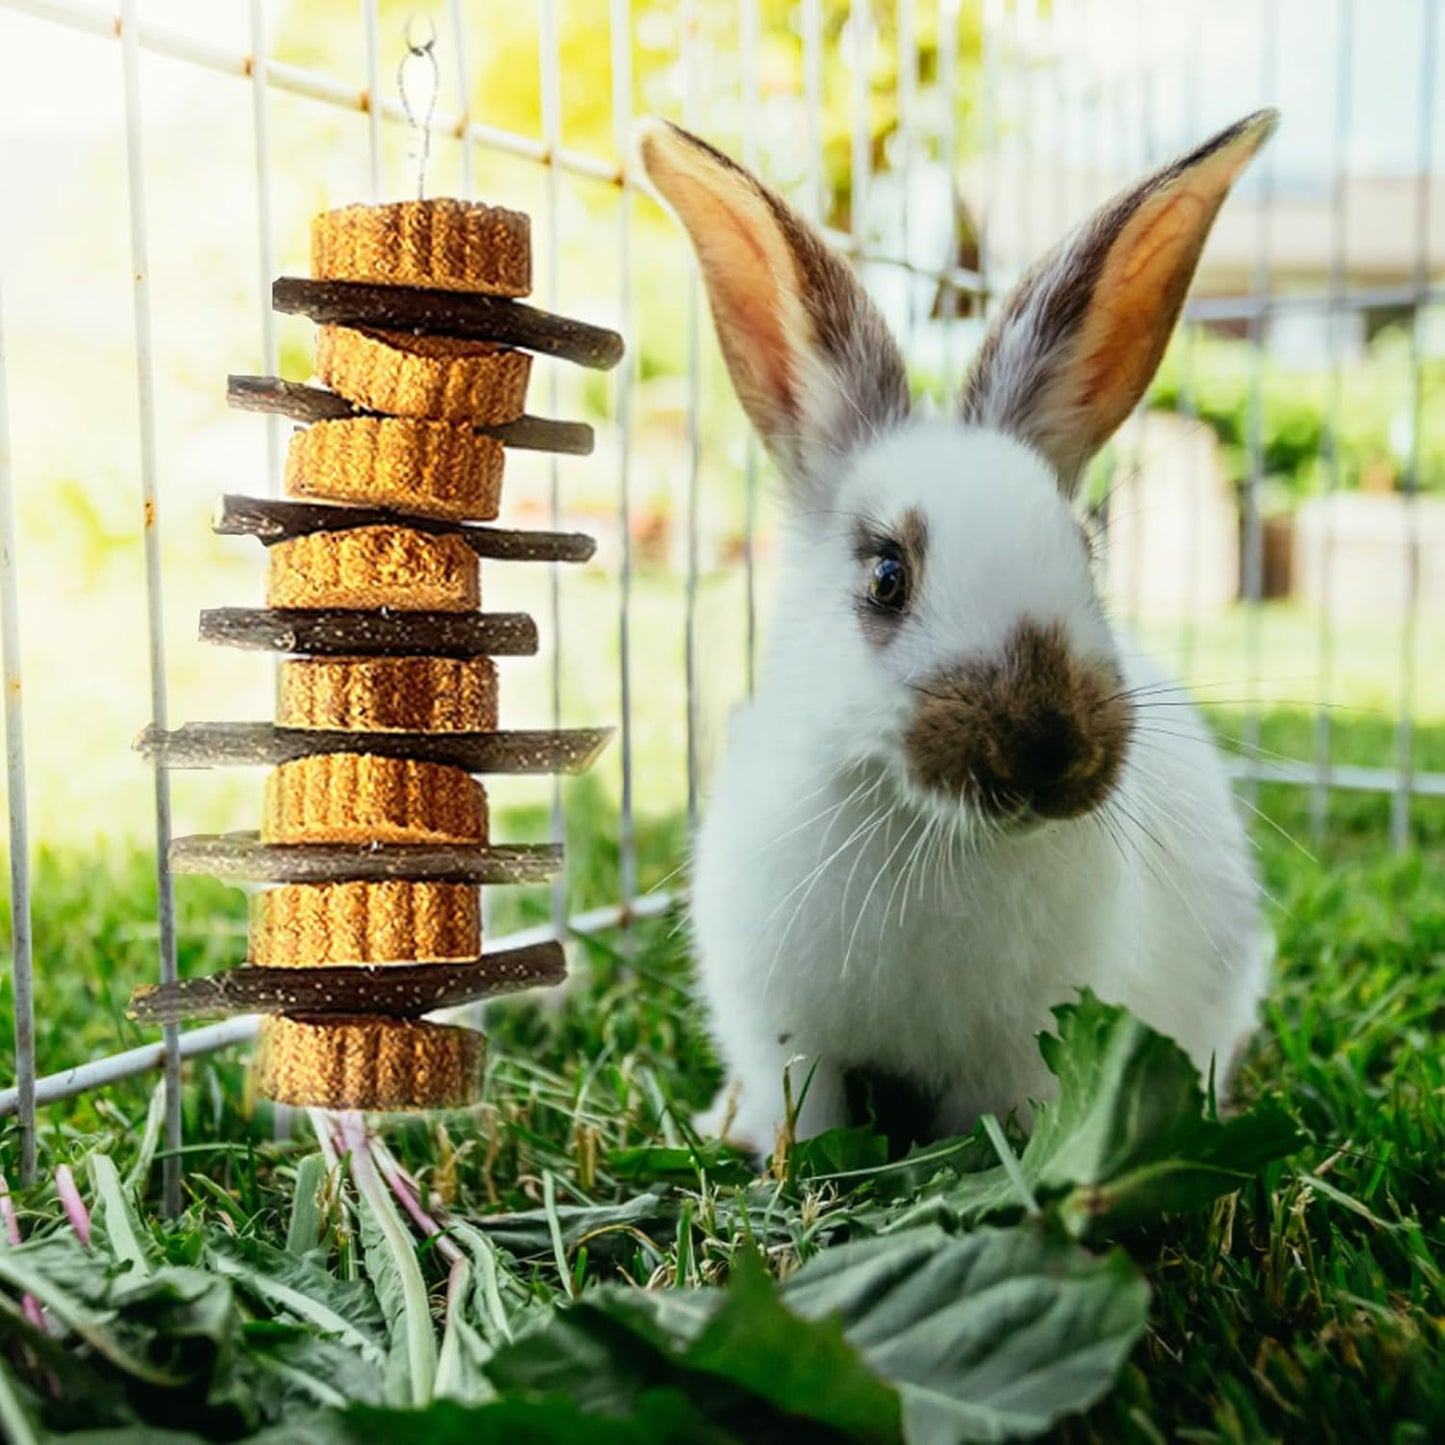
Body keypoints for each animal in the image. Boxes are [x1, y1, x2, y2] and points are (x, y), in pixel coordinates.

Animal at [637, 110, 1278, 1153]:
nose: (1048, 751)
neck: (928, 833)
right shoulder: (784, 1034)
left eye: (1087, 553)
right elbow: (803, 1110)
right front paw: (774, 1152)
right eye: (886, 575)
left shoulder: (1020, 1052)